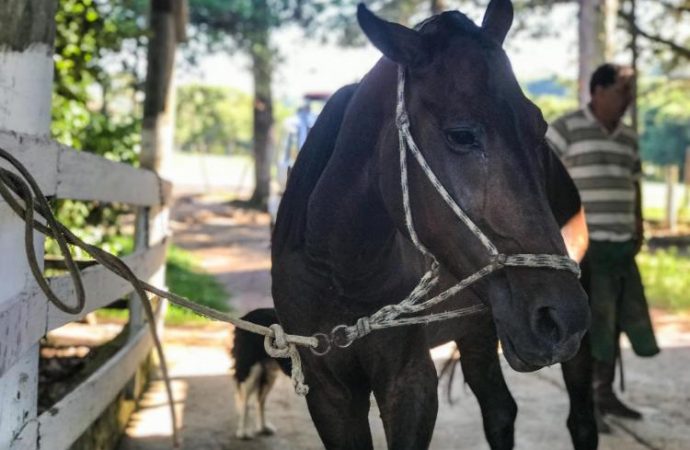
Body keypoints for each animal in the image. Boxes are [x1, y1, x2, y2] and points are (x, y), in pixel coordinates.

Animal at [228, 308, 288, 438]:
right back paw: (243, 431)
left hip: (269, 374)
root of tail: (244, 317)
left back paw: (263, 427)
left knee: (260, 400)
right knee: (245, 401)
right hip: (252, 370)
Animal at [272, 1, 588, 448]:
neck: (339, 269)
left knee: (580, 419)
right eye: (461, 135)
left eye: (539, 129)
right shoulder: (328, 390)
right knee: (500, 411)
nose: (562, 316)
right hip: (481, 329)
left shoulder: (410, 382)